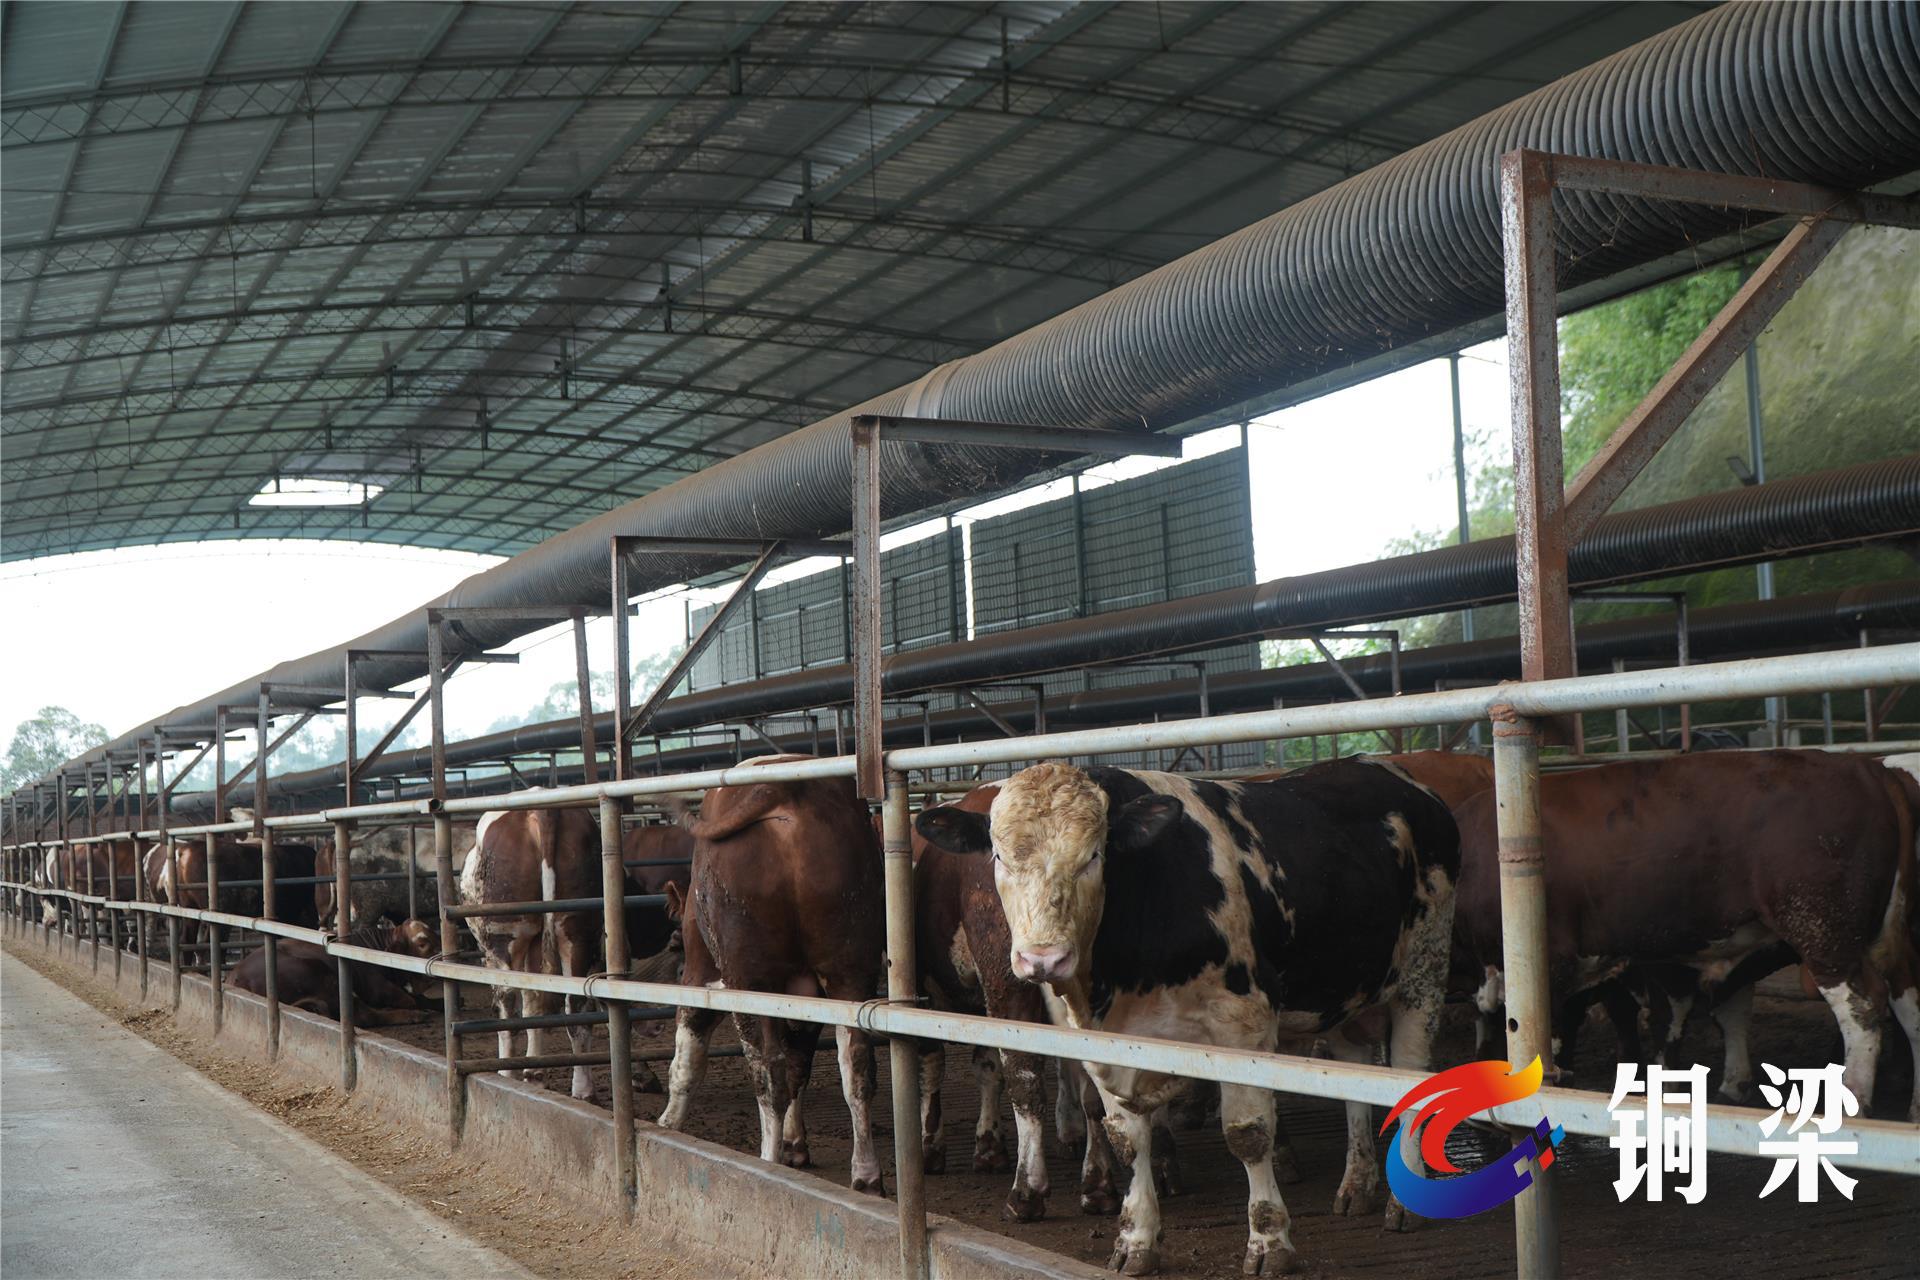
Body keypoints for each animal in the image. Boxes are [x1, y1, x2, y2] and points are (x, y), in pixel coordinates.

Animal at [232, 920, 437, 1023]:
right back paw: (415, 1016)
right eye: (422, 943)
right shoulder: (376, 987)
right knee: (364, 1015)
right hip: (322, 974)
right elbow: (409, 999)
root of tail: (236, 976)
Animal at [658, 758, 888, 1195]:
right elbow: (802, 1061)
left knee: (768, 1072)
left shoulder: (699, 972)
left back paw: (768, 1163)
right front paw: (796, 1143)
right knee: (856, 1066)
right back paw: (866, 1175)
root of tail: (783, 787)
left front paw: (668, 1122)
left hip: (749, 978)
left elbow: (687, 1056)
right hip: (851, 967)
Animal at [916, 760, 1460, 1276]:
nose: (1042, 959)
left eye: (1093, 856)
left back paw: (1405, 1201)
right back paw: (1357, 1184)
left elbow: (1247, 1133)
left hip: (1424, 975)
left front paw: (1269, 1242)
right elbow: (1126, 1138)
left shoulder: (1244, 1024)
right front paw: (1135, 1241)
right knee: (1355, 1076)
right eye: (999, 857)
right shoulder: (1102, 1042)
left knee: (1411, 1078)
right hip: (1346, 990)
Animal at [1451, 749, 1920, 1120]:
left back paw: (1853, 1104)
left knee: (1862, 1008)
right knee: (1909, 1004)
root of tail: (1867, 767)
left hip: (1824, 933)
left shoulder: (1551, 964)